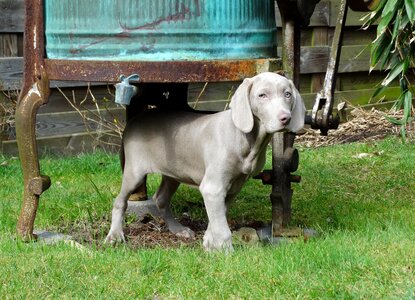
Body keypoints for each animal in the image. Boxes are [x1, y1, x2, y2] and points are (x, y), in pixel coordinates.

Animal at [106, 72, 306, 251]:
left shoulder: (234, 186)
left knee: (161, 199)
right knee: (120, 202)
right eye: (262, 95)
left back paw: (178, 229)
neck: (247, 139)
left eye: (287, 94)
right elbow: (222, 228)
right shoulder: (213, 188)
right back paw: (114, 236)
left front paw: (209, 244)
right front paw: (226, 253)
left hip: (174, 172)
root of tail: (133, 121)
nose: (285, 118)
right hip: (134, 173)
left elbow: (218, 218)